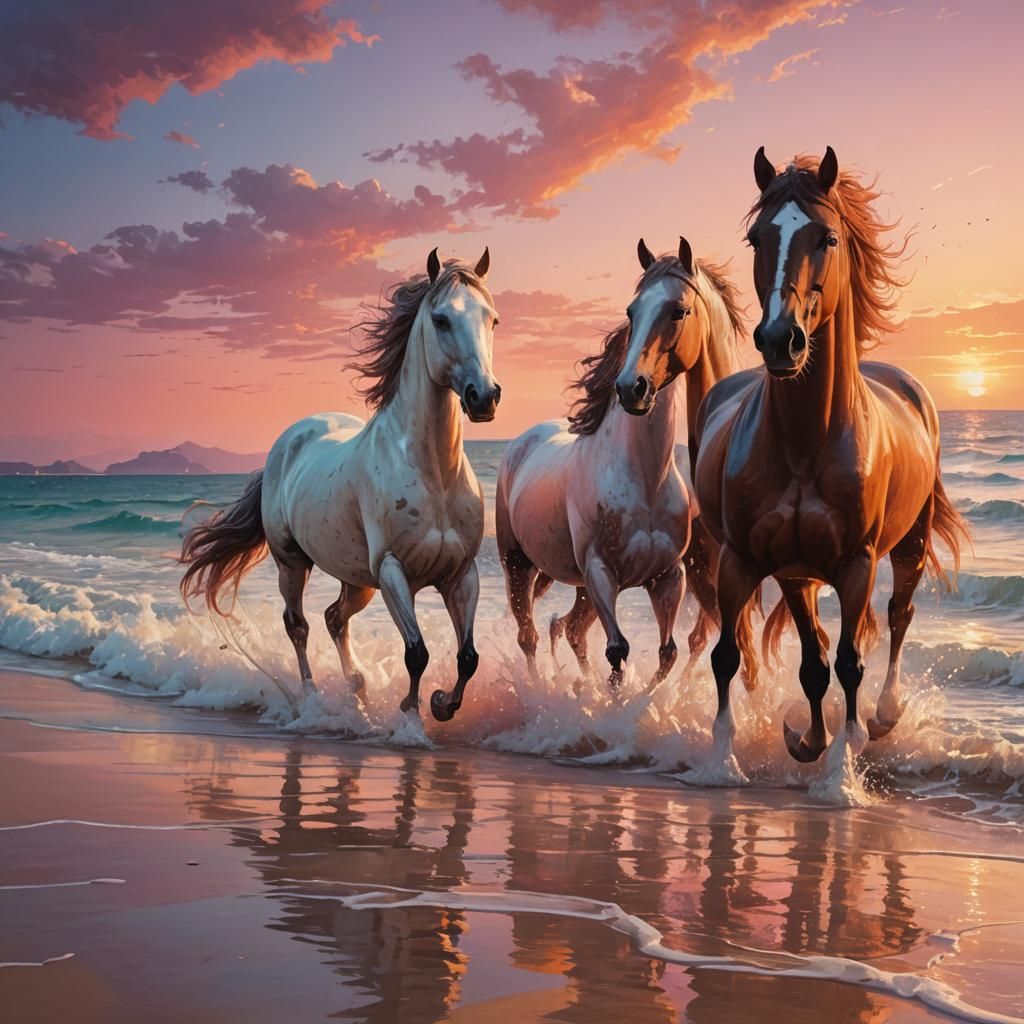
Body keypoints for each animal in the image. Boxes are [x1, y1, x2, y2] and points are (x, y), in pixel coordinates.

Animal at [180, 247, 501, 723]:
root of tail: (291, 438)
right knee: (299, 625)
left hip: (357, 580)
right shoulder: (392, 570)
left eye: (492, 319)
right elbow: (417, 653)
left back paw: (357, 686)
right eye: (441, 319)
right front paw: (411, 713)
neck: (435, 476)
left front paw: (443, 705)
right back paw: (311, 698)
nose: (484, 397)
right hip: (293, 563)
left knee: (335, 617)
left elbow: (468, 657)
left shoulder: (462, 573)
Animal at [496, 237, 745, 690]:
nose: (633, 388)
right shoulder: (600, 572)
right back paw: (540, 687)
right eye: (632, 311)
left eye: (678, 310)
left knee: (570, 629)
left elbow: (667, 653)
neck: (644, 479)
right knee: (530, 636)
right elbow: (617, 652)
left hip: (579, 586)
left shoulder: (667, 577)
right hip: (518, 564)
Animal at [692, 148, 969, 780]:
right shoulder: (748, 561)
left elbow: (848, 663)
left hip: (911, 543)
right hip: (797, 574)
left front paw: (843, 768)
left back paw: (884, 716)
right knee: (815, 654)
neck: (804, 442)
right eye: (756, 239)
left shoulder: (855, 564)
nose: (780, 341)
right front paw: (730, 759)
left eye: (829, 238)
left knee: (897, 615)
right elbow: (735, 658)